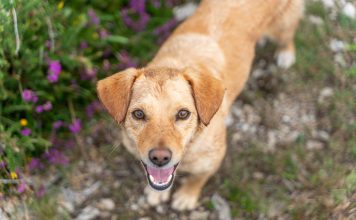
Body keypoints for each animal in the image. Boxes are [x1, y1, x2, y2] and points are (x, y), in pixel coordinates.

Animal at [96, 0, 304, 211]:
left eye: (183, 113)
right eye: (138, 114)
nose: (160, 158)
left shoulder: (213, 160)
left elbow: (197, 179)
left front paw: (187, 196)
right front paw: (157, 193)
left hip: (284, 24)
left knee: (289, 34)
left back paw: (286, 54)